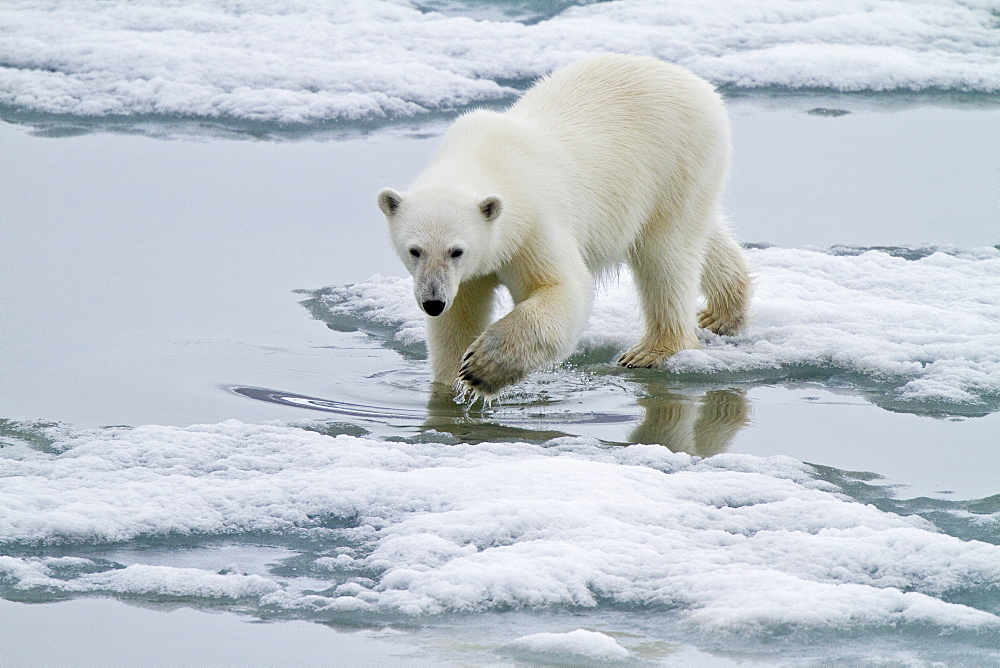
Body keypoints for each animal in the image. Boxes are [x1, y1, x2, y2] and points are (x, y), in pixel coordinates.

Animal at [376, 54, 752, 400]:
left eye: (457, 250)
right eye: (414, 251)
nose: (432, 302)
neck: (483, 159)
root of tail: (693, 80)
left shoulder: (533, 223)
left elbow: (564, 288)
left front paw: (482, 368)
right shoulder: (470, 270)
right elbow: (460, 315)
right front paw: (450, 383)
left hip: (677, 161)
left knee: (665, 256)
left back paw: (652, 351)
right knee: (701, 237)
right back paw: (722, 313)